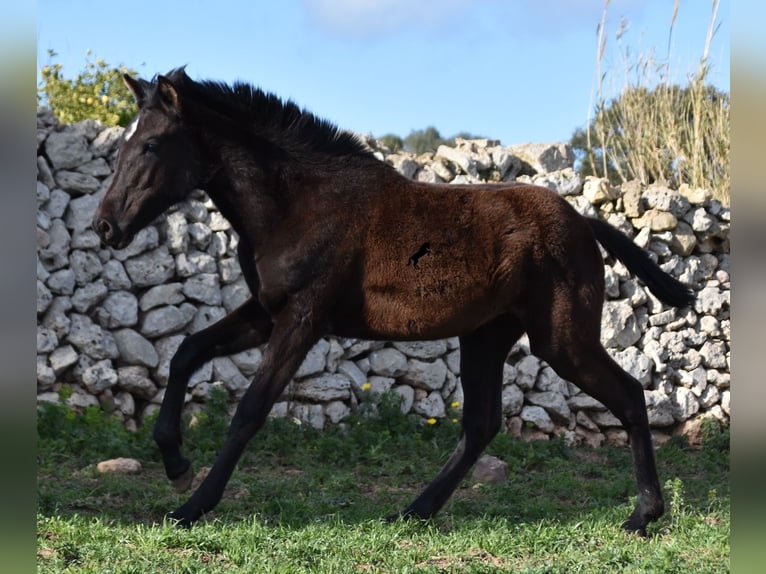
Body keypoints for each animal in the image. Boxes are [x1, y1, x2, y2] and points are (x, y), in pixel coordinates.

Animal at [94, 68, 696, 536]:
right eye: (121, 146)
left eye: (150, 145)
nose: (105, 226)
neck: (299, 204)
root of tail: (584, 224)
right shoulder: (265, 313)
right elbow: (185, 353)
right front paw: (175, 464)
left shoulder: (302, 318)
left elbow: (249, 409)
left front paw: (192, 505)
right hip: (487, 334)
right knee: (481, 424)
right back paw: (413, 511)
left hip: (561, 339)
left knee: (628, 395)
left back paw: (643, 515)